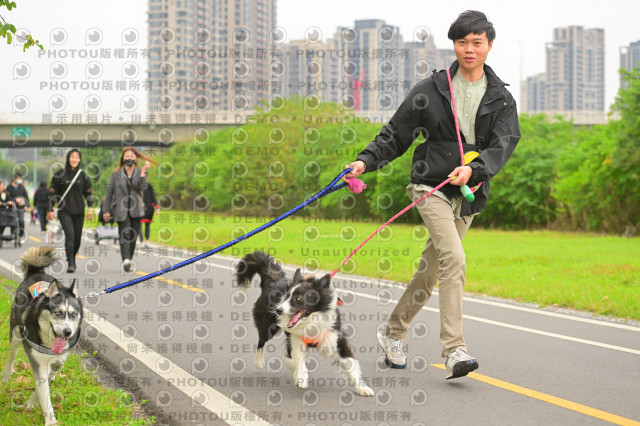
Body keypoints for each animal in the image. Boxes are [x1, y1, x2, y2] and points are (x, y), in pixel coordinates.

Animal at [2, 246, 83, 425]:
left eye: (73, 315)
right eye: (58, 312)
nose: (67, 332)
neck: (49, 343)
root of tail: (36, 272)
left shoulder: (58, 361)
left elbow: (47, 381)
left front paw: (32, 401)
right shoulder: (38, 361)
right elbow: (44, 390)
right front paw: (51, 419)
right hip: (16, 333)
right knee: (12, 354)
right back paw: (6, 375)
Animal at [235, 251, 373, 396]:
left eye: (298, 298)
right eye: (286, 296)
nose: (278, 310)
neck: (311, 320)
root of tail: (273, 280)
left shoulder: (335, 338)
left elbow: (350, 363)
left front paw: (362, 387)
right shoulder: (294, 339)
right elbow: (297, 360)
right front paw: (300, 376)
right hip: (267, 326)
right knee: (261, 341)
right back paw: (259, 361)